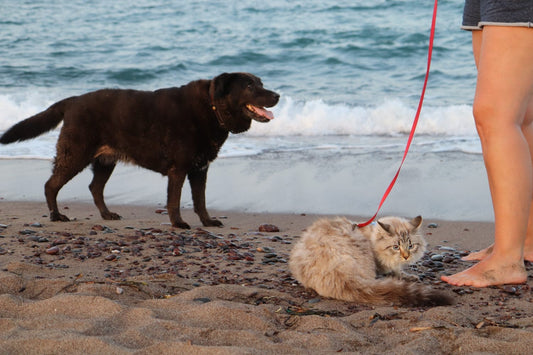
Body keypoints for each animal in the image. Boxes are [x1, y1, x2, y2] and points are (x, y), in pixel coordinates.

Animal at [1, 73, 278, 228]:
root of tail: (72, 101)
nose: (277, 95)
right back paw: (56, 216)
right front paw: (178, 224)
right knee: (51, 185)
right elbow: (174, 201)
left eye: (262, 83)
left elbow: (200, 200)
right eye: (250, 86)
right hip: (75, 154)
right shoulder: (179, 170)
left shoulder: (200, 170)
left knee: (95, 188)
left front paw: (207, 222)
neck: (212, 108)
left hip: (105, 161)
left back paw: (107, 215)